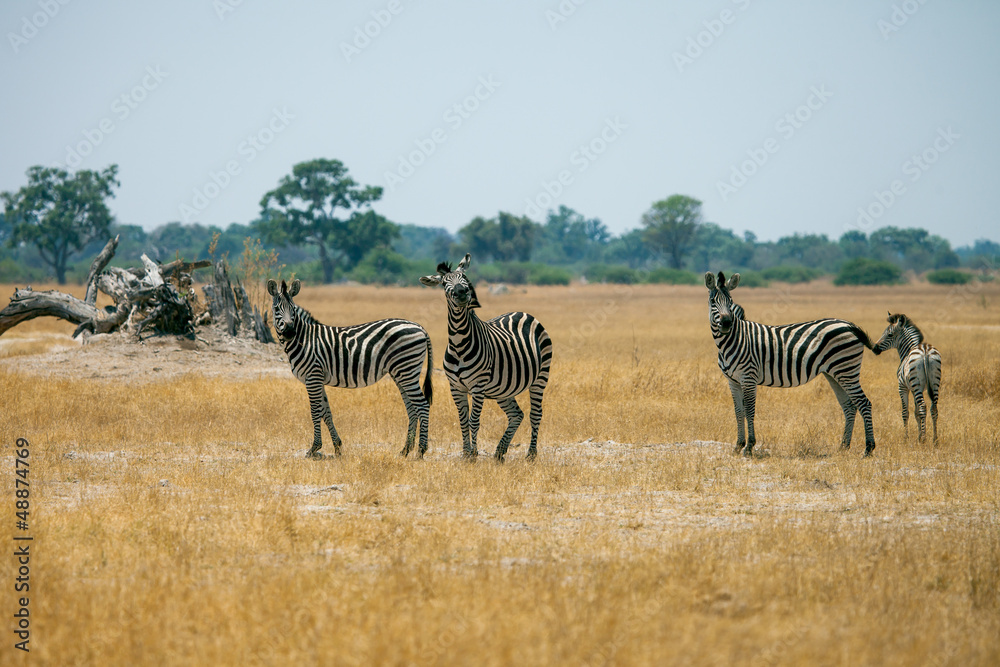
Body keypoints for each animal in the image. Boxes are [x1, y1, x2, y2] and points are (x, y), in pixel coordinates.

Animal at [266, 279, 433, 459]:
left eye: (293, 309)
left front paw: (314, 448)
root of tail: (420, 327)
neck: (305, 339)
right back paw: (405, 450)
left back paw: (421, 451)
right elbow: (326, 412)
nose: (290, 332)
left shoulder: (313, 376)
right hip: (401, 373)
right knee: (412, 408)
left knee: (422, 405)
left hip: (407, 369)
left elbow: (315, 411)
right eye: (276, 309)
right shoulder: (318, 379)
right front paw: (337, 447)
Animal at [419, 254, 552, 462]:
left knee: (535, 414)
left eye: (465, 279)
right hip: (503, 389)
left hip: (541, 377)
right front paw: (466, 454)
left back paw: (531, 454)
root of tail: (524, 313)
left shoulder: (478, 386)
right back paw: (500, 452)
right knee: (517, 415)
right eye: (444, 283)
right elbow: (463, 421)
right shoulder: (455, 387)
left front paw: (473, 455)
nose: (462, 292)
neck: (459, 343)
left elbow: (474, 421)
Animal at [705, 271, 877, 457]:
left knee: (864, 403)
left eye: (730, 301)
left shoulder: (748, 377)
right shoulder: (733, 381)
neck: (733, 340)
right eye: (713, 301)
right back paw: (843, 447)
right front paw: (738, 445)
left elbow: (749, 410)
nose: (727, 323)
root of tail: (849, 325)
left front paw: (749, 446)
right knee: (849, 406)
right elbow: (738, 411)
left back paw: (868, 448)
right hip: (834, 373)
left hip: (846, 369)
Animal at [873, 312, 941, 443]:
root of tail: (925, 350)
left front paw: (906, 438)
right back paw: (935, 440)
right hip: (934, 382)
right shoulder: (915, 389)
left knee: (923, 406)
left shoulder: (903, 387)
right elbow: (916, 413)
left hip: (916, 384)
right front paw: (919, 435)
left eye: (890, 334)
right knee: (933, 408)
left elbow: (905, 412)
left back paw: (924, 439)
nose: (874, 348)